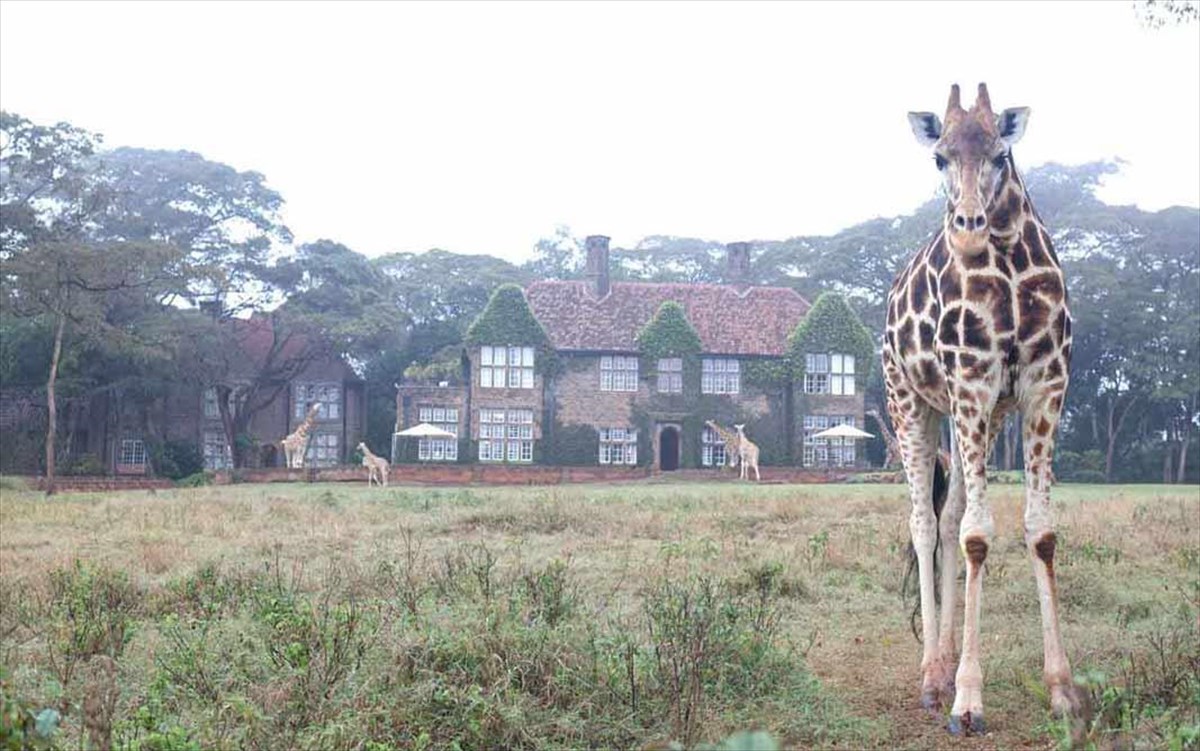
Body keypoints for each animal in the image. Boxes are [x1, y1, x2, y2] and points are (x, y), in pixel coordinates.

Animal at [884, 84, 1084, 737]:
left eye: (1000, 154)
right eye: (939, 158)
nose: (968, 229)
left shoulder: (1044, 386)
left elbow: (1039, 532)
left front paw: (1062, 690)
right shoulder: (971, 379)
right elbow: (977, 535)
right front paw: (967, 700)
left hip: (979, 414)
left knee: (946, 518)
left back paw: (944, 661)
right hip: (910, 402)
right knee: (923, 523)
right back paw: (930, 675)